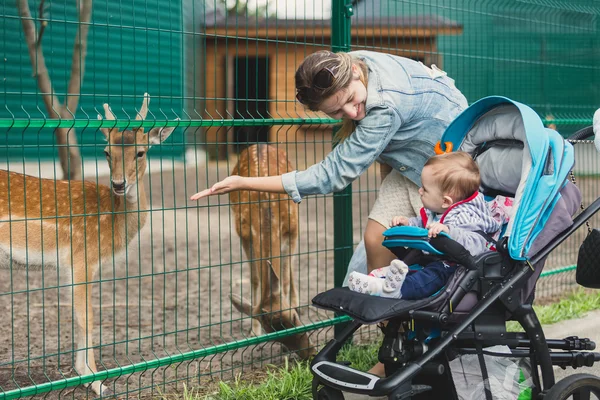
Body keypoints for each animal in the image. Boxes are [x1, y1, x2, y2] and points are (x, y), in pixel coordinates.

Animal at [0, 94, 178, 396]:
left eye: (140, 152)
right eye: (106, 152)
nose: (119, 184)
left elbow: (78, 315)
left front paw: (84, 374)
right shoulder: (82, 258)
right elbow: (88, 316)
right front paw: (96, 381)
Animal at [227, 143, 316, 360]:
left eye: (293, 317)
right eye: (273, 334)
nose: (308, 354)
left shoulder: (291, 230)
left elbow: (284, 279)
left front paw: (295, 304)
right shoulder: (244, 234)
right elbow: (255, 279)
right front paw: (253, 331)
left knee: (290, 268)